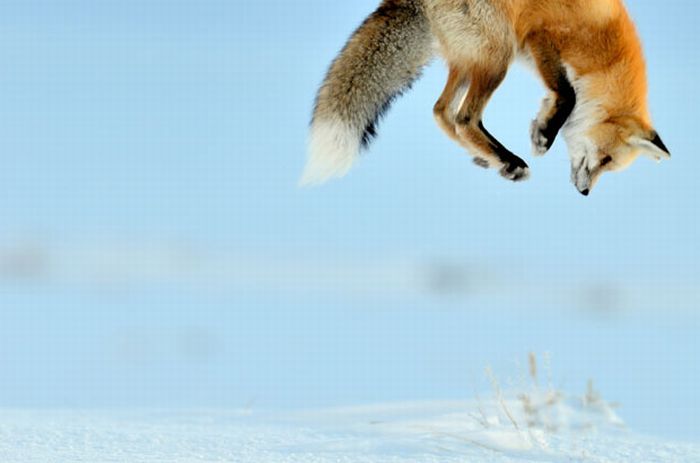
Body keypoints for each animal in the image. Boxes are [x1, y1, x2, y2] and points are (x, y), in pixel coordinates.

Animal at [300, 0, 668, 196]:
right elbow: (567, 93)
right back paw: (504, 158)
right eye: (605, 159)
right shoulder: (541, 37)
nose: (585, 192)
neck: (608, 59)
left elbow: (558, 97)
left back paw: (495, 160)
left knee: (442, 112)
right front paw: (543, 136)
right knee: (463, 117)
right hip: (497, 55)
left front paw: (541, 127)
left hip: (472, 60)